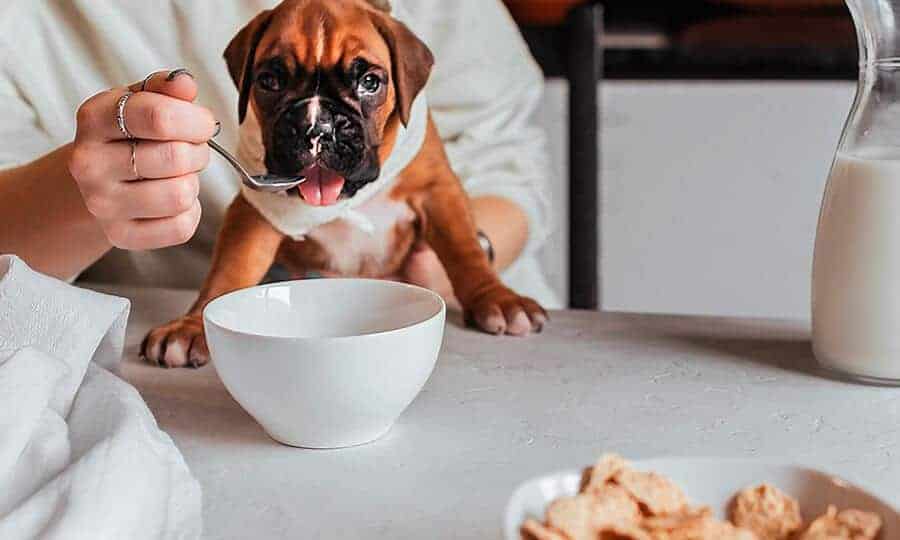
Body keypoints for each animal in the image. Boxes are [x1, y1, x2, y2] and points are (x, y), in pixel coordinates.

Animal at [142, 0, 548, 370]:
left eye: (370, 83)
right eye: (269, 81)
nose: (317, 127)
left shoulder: (438, 191)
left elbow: (465, 250)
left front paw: (498, 298)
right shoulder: (257, 208)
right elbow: (229, 270)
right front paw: (191, 325)